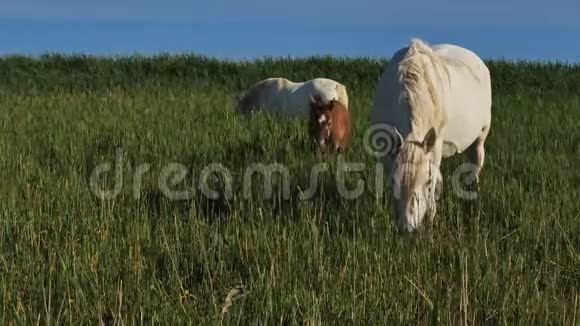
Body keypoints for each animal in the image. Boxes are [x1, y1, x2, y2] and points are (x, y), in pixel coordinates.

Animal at [372, 38, 490, 232]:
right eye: (394, 181)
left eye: (426, 182)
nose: (408, 228)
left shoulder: (436, 146)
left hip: (479, 139)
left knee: (475, 167)